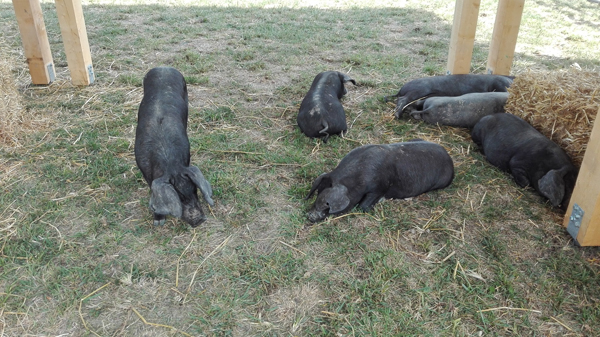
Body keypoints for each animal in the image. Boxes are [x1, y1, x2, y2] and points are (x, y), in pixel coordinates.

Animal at [135, 66, 214, 226]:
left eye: (195, 190)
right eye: (179, 197)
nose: (199, 220)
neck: (169, 161)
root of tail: (163, 67)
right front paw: (158, 222)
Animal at [304, 139, 454, 220]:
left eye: (327, 207)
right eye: (317, 196)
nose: (310, 216)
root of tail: (450, 160)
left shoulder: (379, 187)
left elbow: (363, 206)